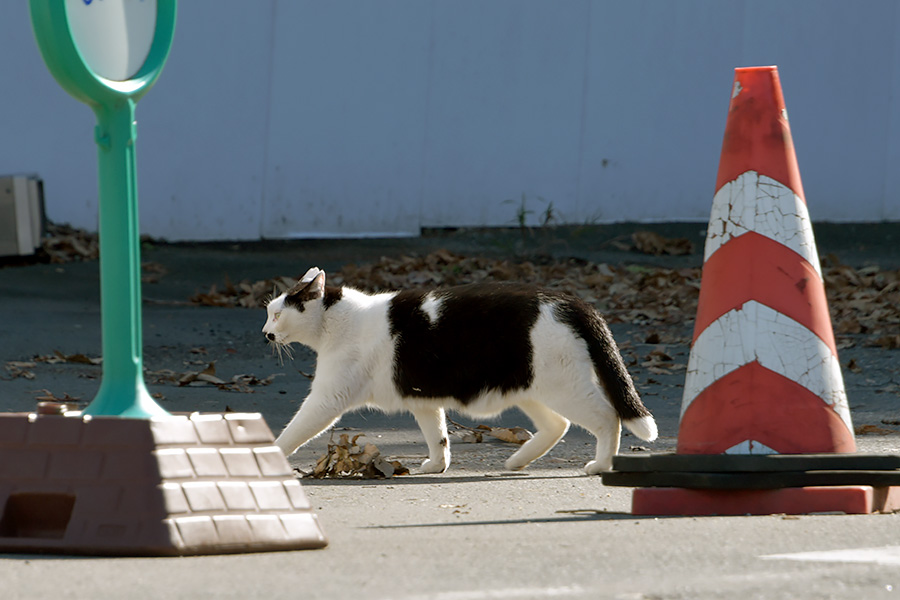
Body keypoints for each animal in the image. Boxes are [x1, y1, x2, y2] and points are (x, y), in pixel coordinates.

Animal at [264, 268, 656, 474]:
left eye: (277, 313)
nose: (266, 333)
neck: (337, 320)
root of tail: (572, 301)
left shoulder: (328, 398)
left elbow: (294, 430)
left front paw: (271, 456)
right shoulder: (423, 401)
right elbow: (438, 435)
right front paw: (437, 465)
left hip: (564, 387)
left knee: (607, 417)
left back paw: (601, 464)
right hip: (531, 388)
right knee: (557, 425)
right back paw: (517, 460)